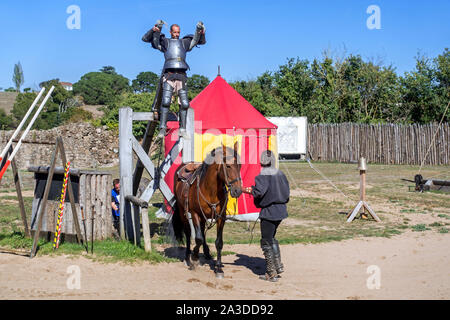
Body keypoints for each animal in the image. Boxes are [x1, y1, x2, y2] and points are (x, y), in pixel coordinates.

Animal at [172, 142, 243, 278]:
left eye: (240, 166)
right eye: (228, 166)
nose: (237, 191)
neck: (210, 191)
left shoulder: (221, 218)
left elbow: (218, 242)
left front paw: (219, 268)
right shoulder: (195, 214)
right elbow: (198, 238)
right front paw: (194, 257)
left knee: (202, 231)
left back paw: (206, 253)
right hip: (183, 212)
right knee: (188, 233)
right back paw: (188, 257)